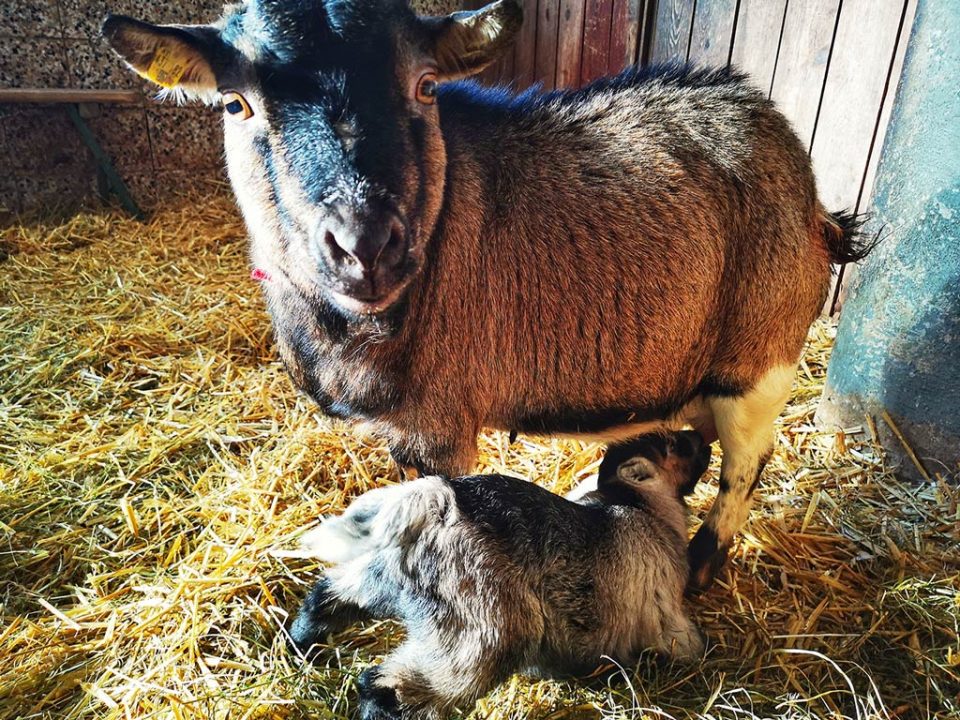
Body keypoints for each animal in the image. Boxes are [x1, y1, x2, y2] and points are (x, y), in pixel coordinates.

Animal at [103, 0, 872, 588]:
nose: (364, 245)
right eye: (236, 103)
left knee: (746, 465)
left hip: (760, 351)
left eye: (426, 86)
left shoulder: (439, 422)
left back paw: (700, 566)